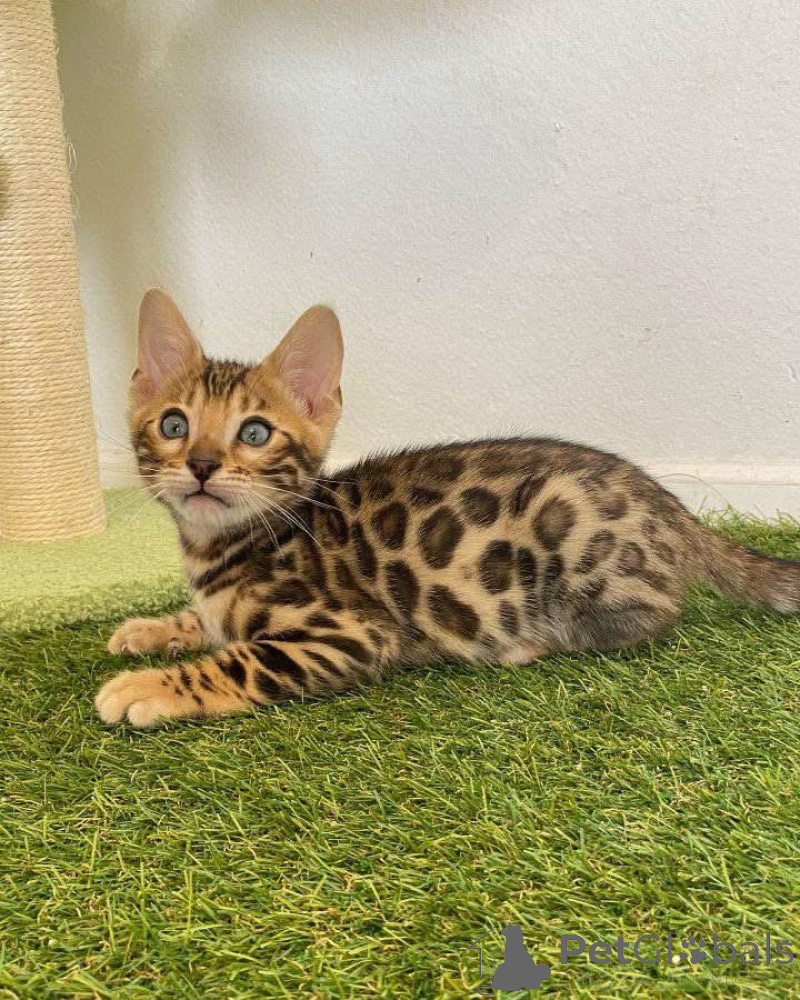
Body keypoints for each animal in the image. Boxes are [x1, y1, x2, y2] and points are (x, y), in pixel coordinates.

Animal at [96, 289, 800, 727]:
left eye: (254, 433)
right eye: (174, 424)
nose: (201, 464)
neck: (217, 548)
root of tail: (672, 505)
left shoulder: (351, 631)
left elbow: (242, 657)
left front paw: (151, 685)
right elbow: (212, 625)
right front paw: (155, 627)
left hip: (575, 545)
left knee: (649, 619)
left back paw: (531, 644)